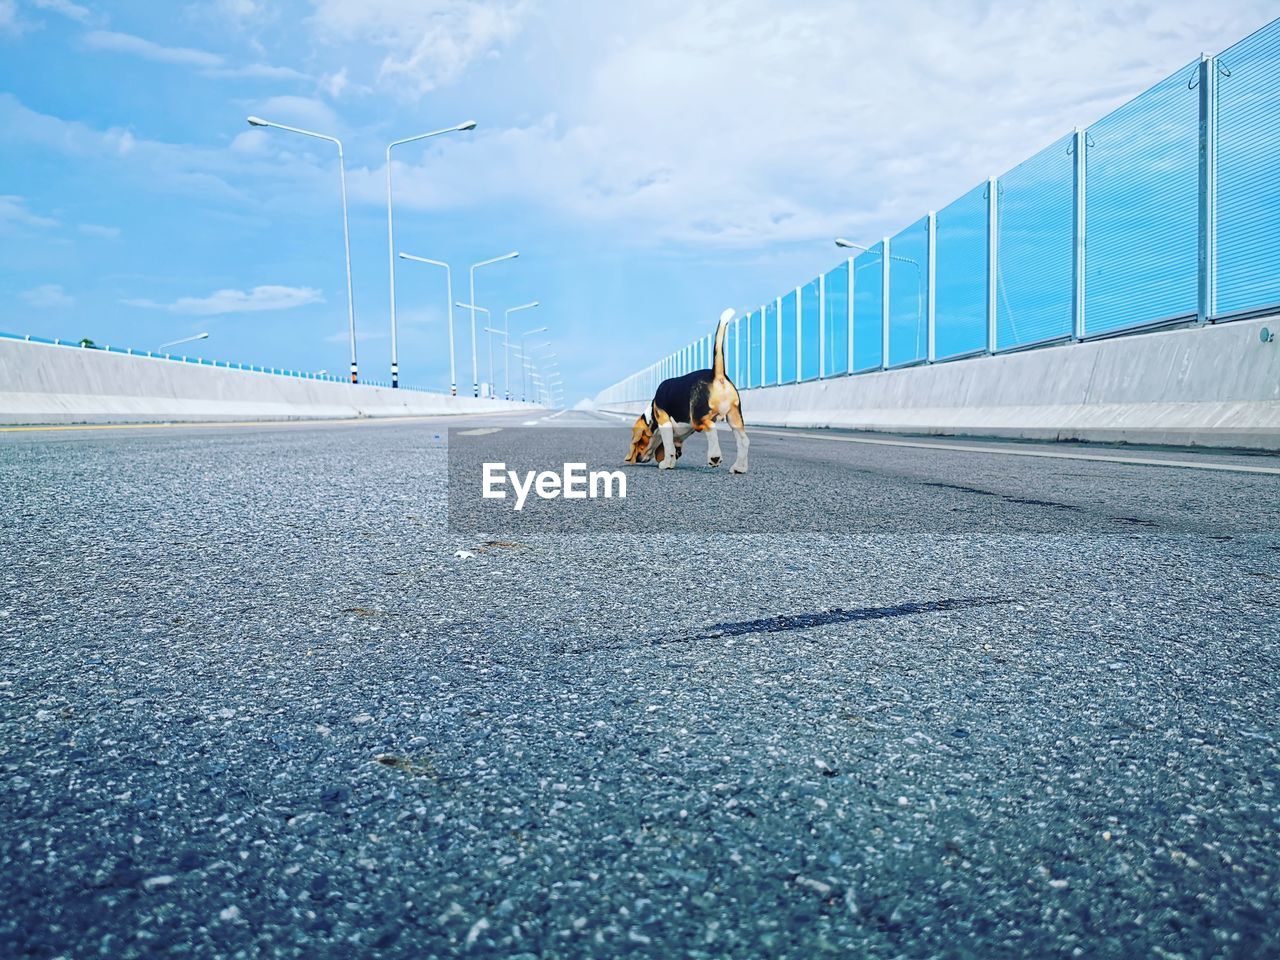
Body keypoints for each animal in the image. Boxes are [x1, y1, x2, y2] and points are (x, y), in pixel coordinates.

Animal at [622, 308, 747, 473]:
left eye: (641, 442)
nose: (638, 459)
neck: (652, 416)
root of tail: (717, 374)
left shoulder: (664, 422)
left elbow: (668, 447)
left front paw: (665, 464)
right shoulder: (677, 438)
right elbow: (673, 450)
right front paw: (670, 463)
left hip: (698, 419)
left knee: (711, 428)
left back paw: (714, 457)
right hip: (734, 417)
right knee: (744, 440)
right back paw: (739, 467)